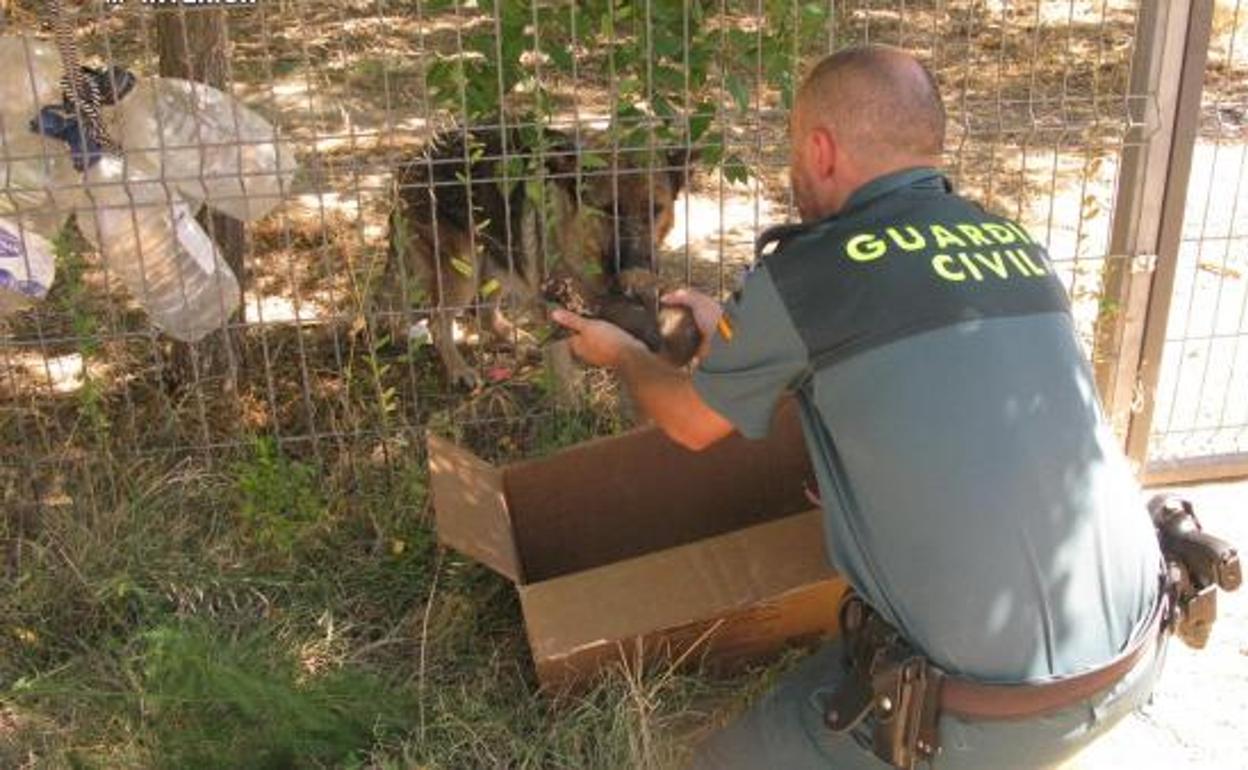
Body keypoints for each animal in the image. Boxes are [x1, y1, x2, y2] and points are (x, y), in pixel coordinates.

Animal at [381, 127, 693, 389]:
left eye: (655, 209)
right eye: (607, 210)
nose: (638, 265)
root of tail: (410, 163)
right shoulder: (553, 310)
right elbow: (564, 367)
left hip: (498, 259)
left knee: (484, 312)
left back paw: (516, 339)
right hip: (463, 270)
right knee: (438, 322)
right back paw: (459, 369)